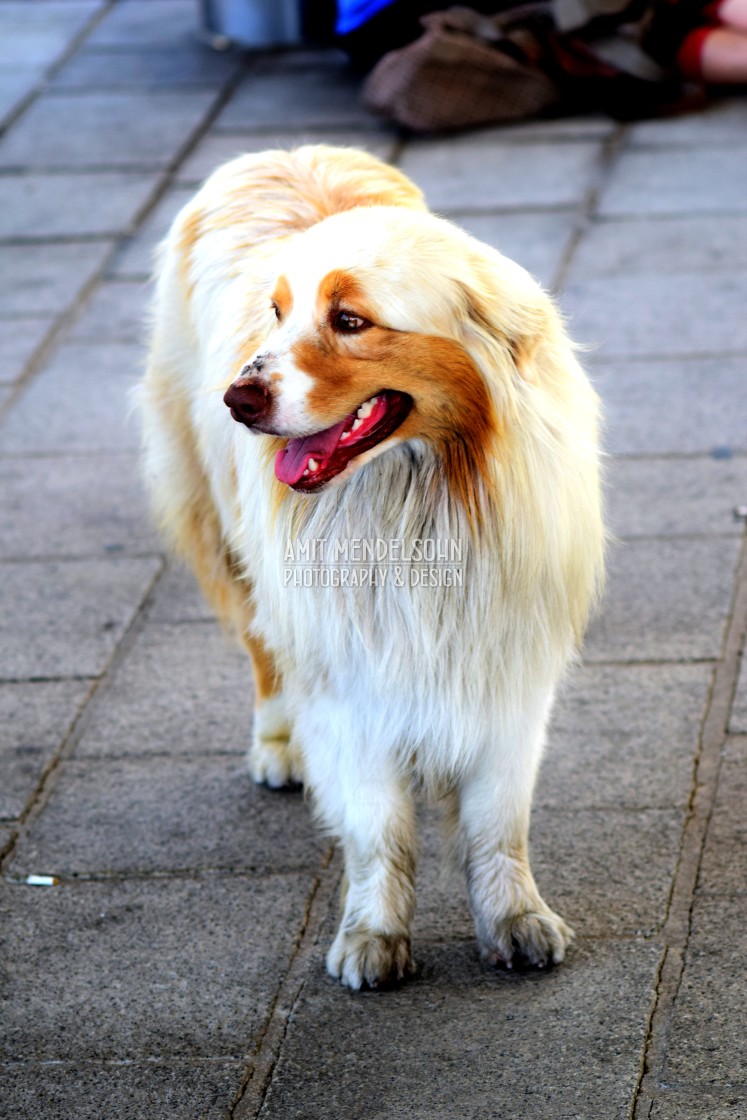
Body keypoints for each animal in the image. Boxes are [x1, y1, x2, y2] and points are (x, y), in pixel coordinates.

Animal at [139, 142, 604, 990]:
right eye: (276, 313)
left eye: (349, 321)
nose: (236, 400)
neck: (417, 496)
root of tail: (284, 150)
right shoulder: (346, 673)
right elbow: (377, 825)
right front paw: (373, 935)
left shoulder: (506, 664)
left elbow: (497, 821)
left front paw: (514, 919)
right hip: (218, 527)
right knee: (262, 649)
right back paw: (278, 745)